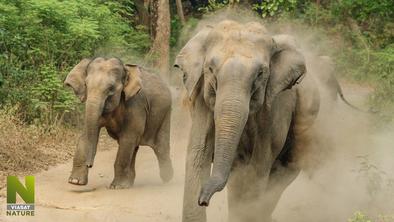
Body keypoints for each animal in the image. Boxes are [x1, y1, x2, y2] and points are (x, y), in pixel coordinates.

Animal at [63, 57, 173, 189]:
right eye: (86, 85)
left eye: (111, 89)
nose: (89, 164)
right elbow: (85, 136)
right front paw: (75, 182)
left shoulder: (136, 104)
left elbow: (128, 138)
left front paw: (117, 186)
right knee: (134, 147)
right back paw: (129, 183)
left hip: (165, 114)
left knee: (160, 147)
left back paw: (167, 178)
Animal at [175, 20, 320, 222]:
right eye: (210, 69)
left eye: (260, 74)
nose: (203, 200)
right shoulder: (201, 97)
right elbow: (198, 153)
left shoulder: (274, 107)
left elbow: (259, 166)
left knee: (279, 175)